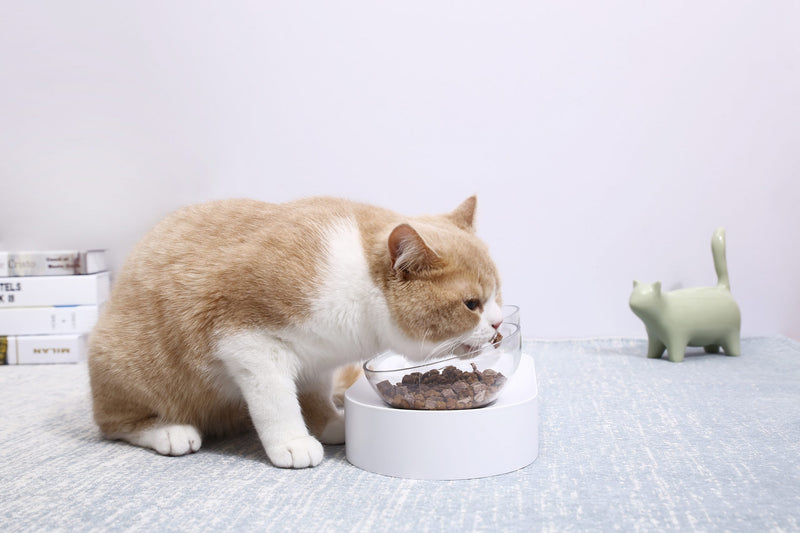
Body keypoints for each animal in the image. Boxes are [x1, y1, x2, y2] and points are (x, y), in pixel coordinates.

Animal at [86, 195, 500, 466]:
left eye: (497, 293)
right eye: (471, 304)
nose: (497, 324)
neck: (355, 283)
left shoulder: (320, 358)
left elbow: (314, 395)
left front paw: (330, 423)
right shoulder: (247, 341)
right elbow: (277, 401)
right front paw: (293, 441)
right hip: (130, 367)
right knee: (114, 424)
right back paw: (169, 431)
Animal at [628, 227, 740, 364]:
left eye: (644, 297)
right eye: (633, 295)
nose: (633, 302)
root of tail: (722, 288)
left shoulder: (677, 336)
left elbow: (676, 351)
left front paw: (675, 361)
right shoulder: (654, 338)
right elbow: (653, 350)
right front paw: (651, 357)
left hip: (732, 333)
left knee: (733, 344)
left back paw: (734, 354)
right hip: (714, 334)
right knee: (712, 344)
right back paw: (711, 351)